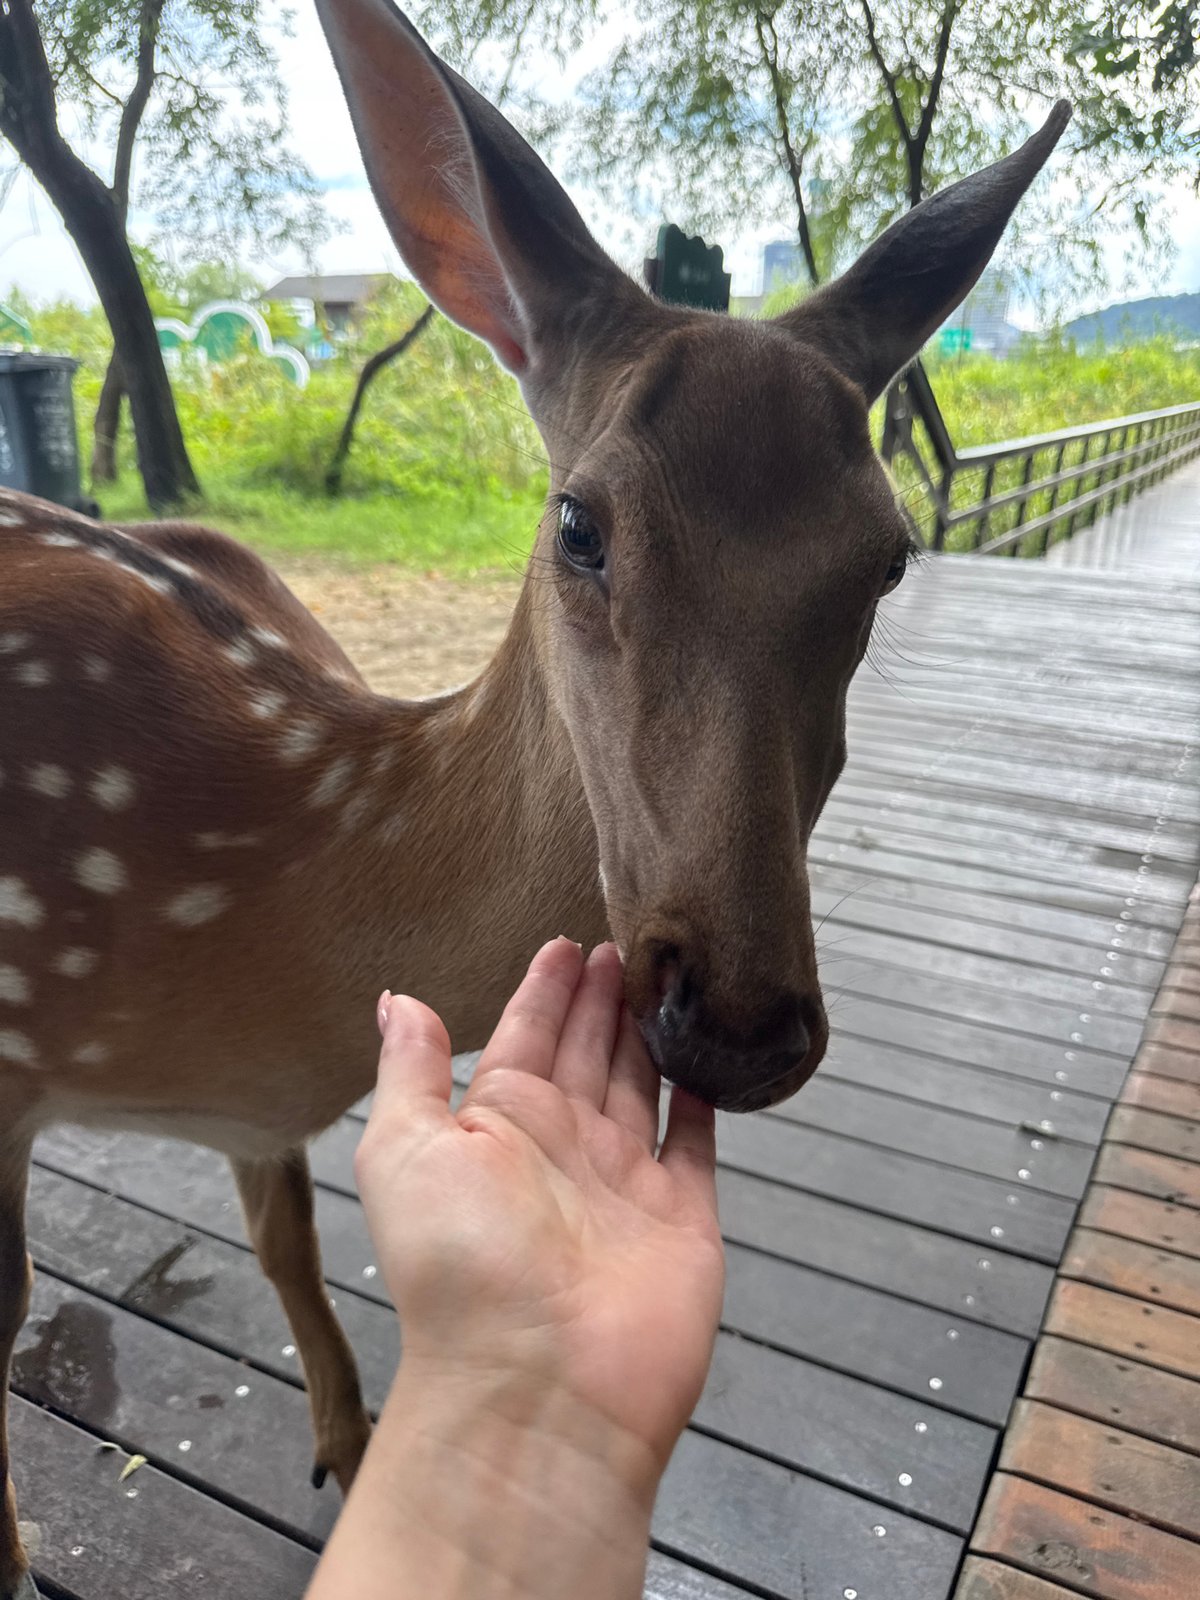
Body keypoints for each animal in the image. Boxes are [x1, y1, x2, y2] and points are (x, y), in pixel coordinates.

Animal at [0, 1, 1069, 1593]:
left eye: (890, 556)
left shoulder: (261, 1122)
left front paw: (351, 1447)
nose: (736, 1021)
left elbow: (289, 1242)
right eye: (579, 522)